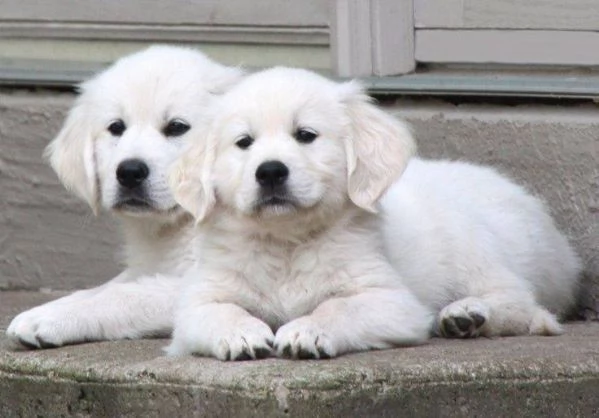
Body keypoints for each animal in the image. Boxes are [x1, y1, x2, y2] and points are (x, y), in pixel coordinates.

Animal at [7, 44, 241, 348]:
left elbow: (124, 295)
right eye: (116, 127)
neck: (179, 226)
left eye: (177, 127)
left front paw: (52, 318)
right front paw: (48, 308)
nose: (129, 172)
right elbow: (105, 286)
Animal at [168, 68, 436, 360]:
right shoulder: (199, 301)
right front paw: (241, 335)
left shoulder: (392, 300)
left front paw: (307, 332)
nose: (270, 171)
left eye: (306, 135)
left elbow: (339, 307)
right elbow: (222, 310)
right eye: (244, 142)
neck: (286, 242)